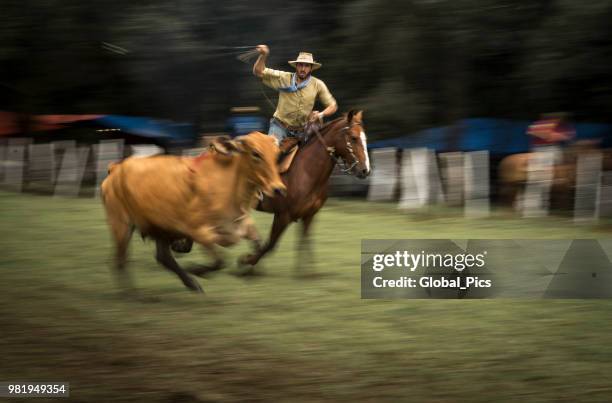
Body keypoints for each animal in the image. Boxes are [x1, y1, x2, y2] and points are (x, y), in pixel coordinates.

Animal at [238, 110, 372, 274]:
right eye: (353, 137)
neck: (307, 171)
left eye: (365, 138)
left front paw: (306, 272)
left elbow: (304, 240)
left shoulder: (309, 214)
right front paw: (246, 261)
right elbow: (271, 244)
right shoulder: (283, 215)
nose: (365, 170)